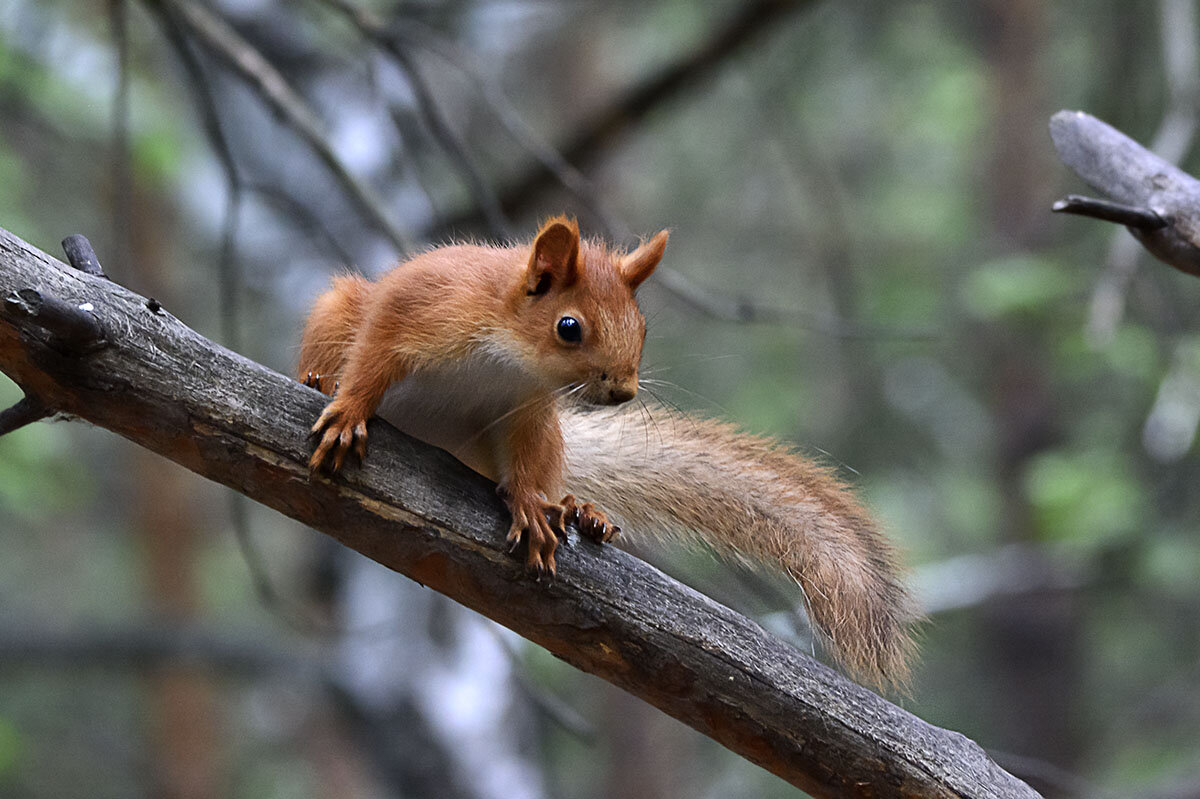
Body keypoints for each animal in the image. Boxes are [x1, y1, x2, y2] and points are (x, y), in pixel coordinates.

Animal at [300, 215, 916, 686]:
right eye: (568, 327)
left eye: (642, 327)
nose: (623, 391)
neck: (504, 350)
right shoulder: (416, 309)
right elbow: (373, 355)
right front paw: (349, 407)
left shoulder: (525, 410)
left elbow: (527, 464)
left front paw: (533, 504)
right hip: (338, 308)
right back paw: (317, 380)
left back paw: (578, 509)